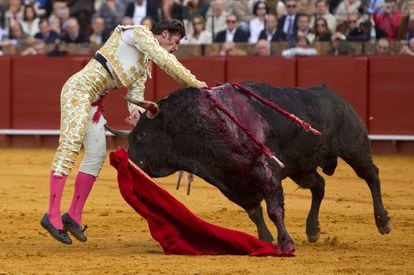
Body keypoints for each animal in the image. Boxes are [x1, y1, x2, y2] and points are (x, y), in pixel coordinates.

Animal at [121, 81, 390, 254]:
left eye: (141, 137)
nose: (129, 158)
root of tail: (333, 94)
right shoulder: (233, 182)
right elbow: (254, 212)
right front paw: (266, 241)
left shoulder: (266, 173)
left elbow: (273, 210)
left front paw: (285, 244)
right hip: (300, 169)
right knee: (319, 186)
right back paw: (312, 229)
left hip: (354, 148)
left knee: (371, 176)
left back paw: (383, 221)